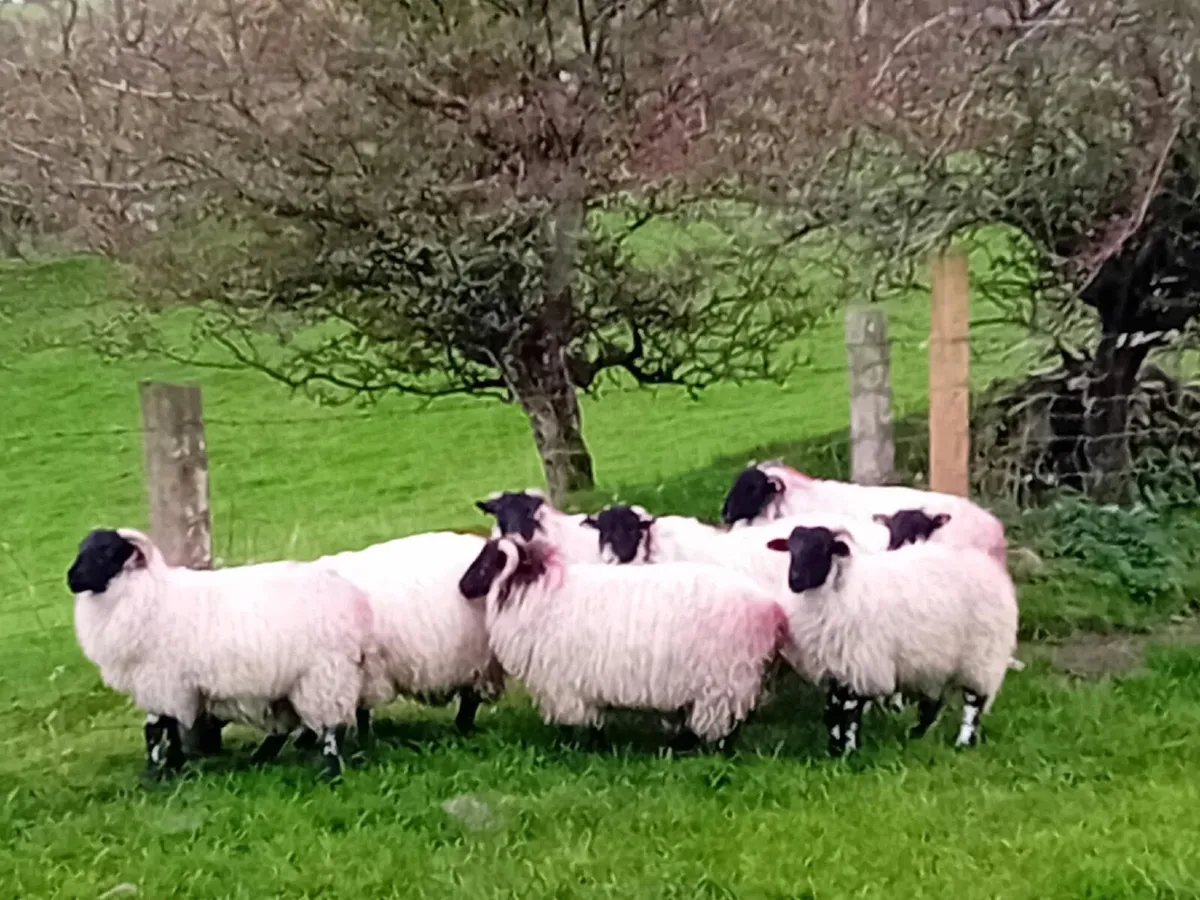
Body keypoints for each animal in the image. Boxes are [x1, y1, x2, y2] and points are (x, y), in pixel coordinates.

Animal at [67, 528, 375, 780]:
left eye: (108, 551)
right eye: (81, 547)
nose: (71, 579)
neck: (145, 594)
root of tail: (351, 598)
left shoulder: (162, 680)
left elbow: (155, 730)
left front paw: (154, 775)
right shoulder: (171, 685)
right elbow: (171, 728)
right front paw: (173, 766)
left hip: (324, 674)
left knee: (333, 727)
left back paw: (330, 771)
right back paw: (264, 758)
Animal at [457, 536, 790, 751]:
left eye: (486, 564)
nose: (462, 586)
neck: (536, 594)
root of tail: (770, 609)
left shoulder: (565, 684)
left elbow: (577, 723)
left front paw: (577, 750)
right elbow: (594, 721)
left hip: (722, 680)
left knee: (721, 722)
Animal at [763, 524, 1019, 757]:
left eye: (823, 549)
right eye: (791, 549)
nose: (795, 581)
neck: (841, 588)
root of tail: (986, 564)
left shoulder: (862, 664)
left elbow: (849, 711)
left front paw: (848, 750)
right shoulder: (837, 665)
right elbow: (832, 710)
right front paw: (834, 749)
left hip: (982, 655)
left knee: (974, 702)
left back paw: (963, 742)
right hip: (937, 658)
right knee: (933, 702)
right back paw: (916, 734)